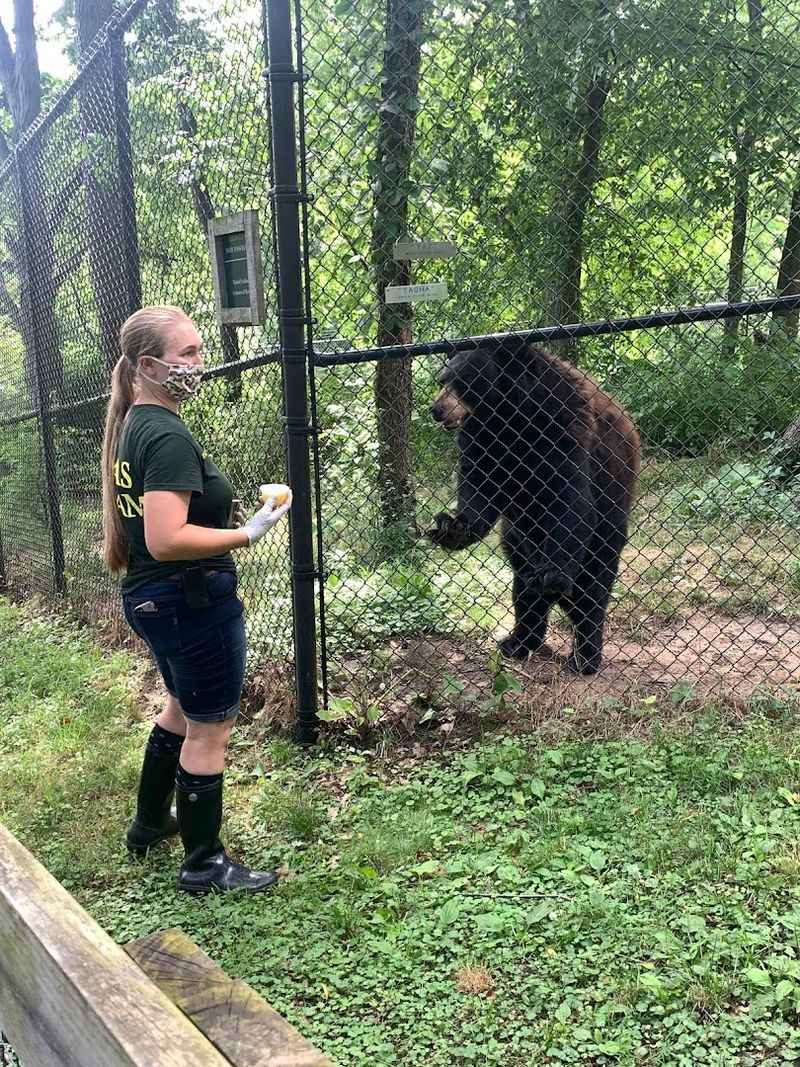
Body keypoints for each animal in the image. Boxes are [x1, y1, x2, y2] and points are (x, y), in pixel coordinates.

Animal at [426, 338, 641, 674]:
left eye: (465, 381)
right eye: (442, 380)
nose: (437, 409)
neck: (508, 418)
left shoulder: (561, 427)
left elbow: (570, 498)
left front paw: (554, 573)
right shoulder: (481, 441)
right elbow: (478, 487)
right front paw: (451, 527)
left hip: (611, 514)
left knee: (593, 586)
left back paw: (585, 655)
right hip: (517, 536)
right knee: (523, 586)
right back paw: (518, 641)